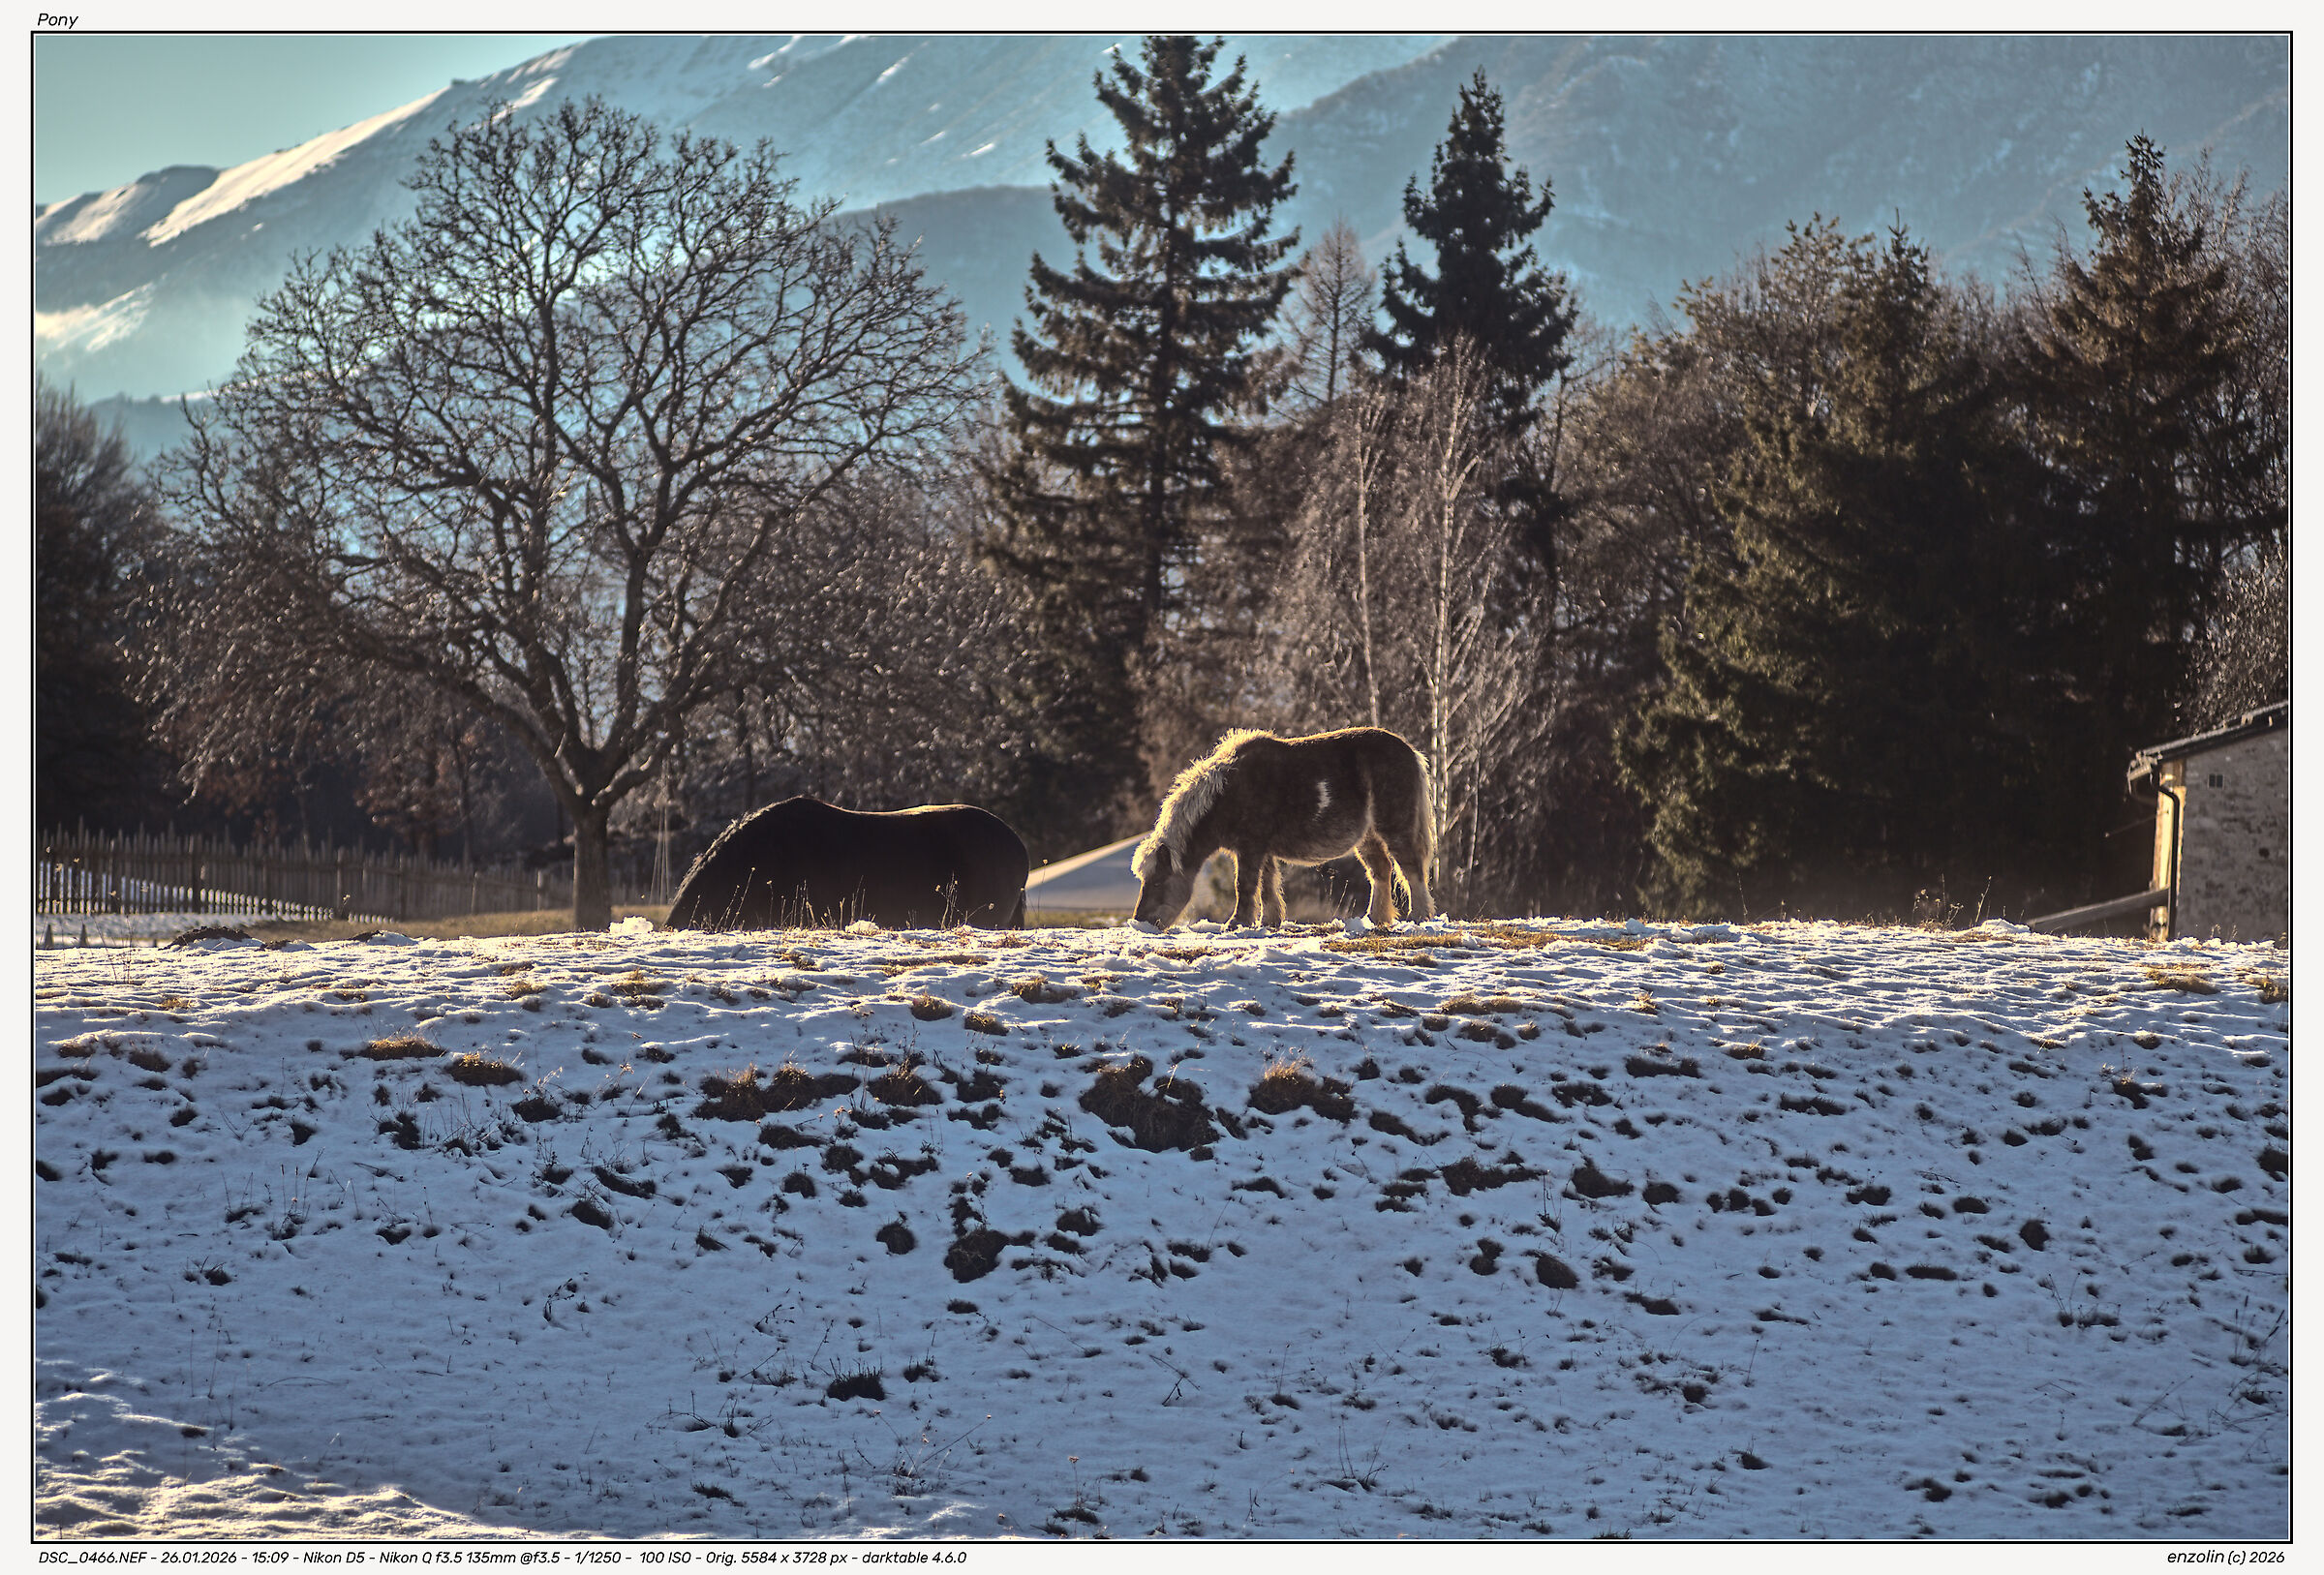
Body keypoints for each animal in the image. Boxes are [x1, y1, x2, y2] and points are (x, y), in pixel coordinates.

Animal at [1131, 727, 1435, 930]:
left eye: (1157, 882)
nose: (1141, 922)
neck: (1227, 793)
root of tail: (1412, 753)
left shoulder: (1251, 848)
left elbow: (1245, 885)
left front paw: (1237, 923)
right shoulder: (1261, 850)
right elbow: (1267, 885)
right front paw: (1269, 921)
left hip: (1395, 827)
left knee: (1411, 869)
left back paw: (1419, 916)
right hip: (1368, 837)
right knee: (1381, 871)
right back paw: (1374, 919)